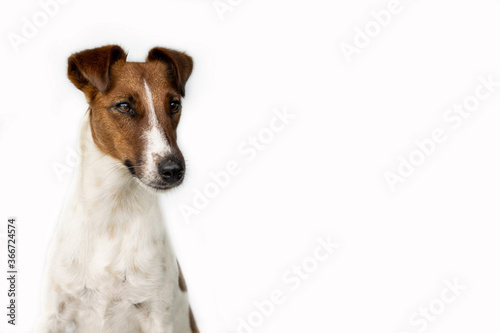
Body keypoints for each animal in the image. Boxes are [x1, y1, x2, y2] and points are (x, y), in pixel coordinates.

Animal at [36, 44, 199, 332]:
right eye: (124, 106)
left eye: (174, 105)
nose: (173, 170)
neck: (113, 212)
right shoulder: (54, 315)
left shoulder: (158, 316)